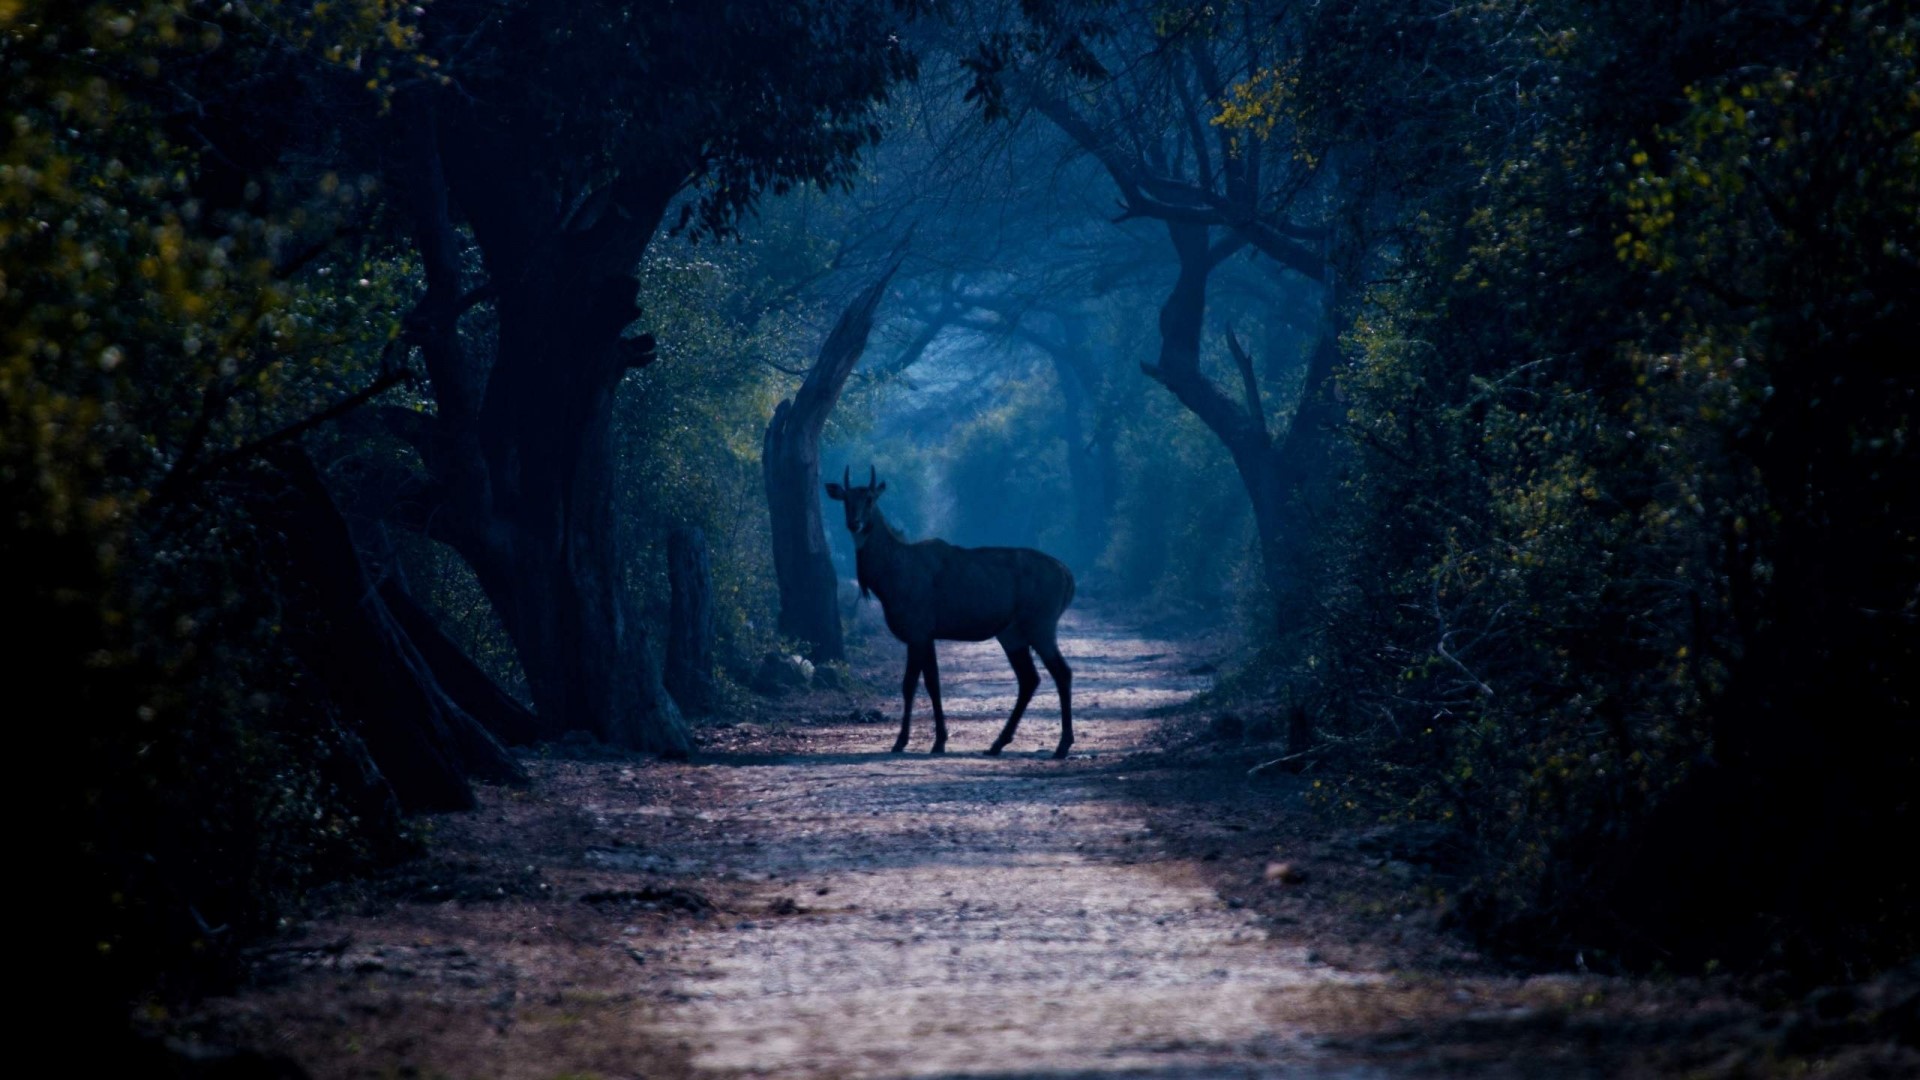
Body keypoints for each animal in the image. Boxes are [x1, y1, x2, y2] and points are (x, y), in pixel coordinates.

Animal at [825, 466, 1078, 759]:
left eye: (869, 499)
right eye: (846, 499)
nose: (854, 523)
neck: (891, 575)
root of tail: (1067, 576)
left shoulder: (918, 631)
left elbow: (911, 684)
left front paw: (904, 741)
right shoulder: (927, 635)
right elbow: (932, 684)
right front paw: (938, 741)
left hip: (1041, 625)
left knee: (1061, 672)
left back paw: (1062, 745)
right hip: (1011, 633)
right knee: (1029, 678)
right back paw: (997, 744)